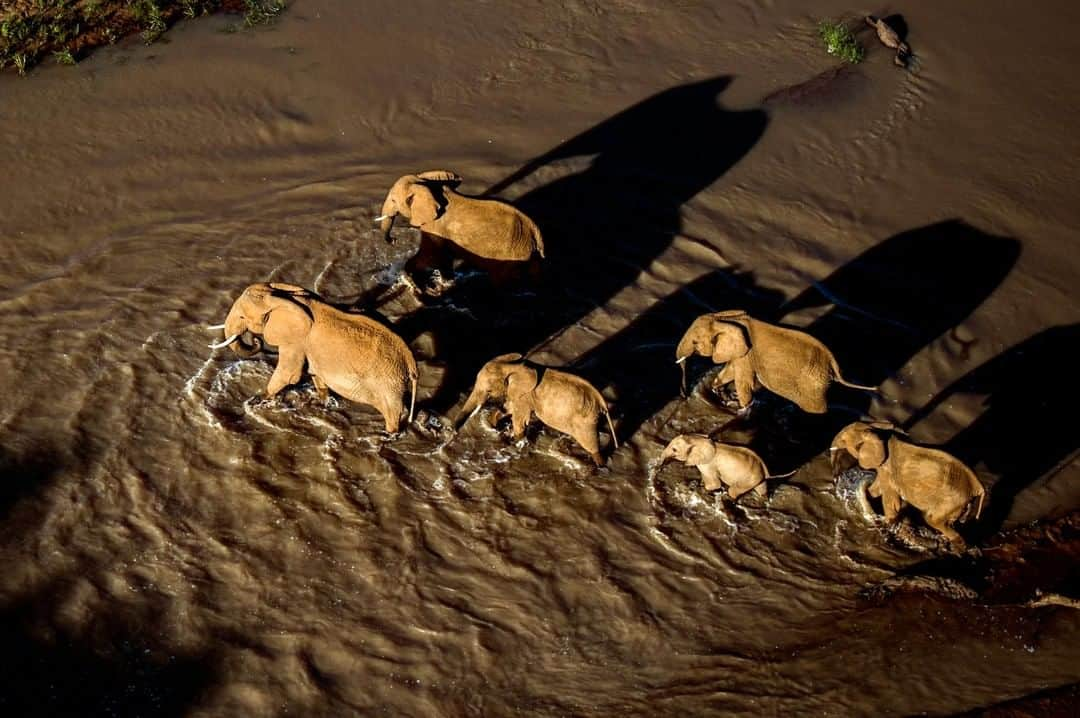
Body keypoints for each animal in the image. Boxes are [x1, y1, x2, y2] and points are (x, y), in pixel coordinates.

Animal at [457, 351, 622, 464]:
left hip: (585, 422)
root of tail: (602, 402)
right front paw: (493, 426)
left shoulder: (525, 396)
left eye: (489, 391)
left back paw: (599, 465)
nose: (455, 431)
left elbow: (519, 420)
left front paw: (517, 442)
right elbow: (509, 408)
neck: (512, 366)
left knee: (591, 444)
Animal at [652, 431, 799, 498]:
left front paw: (703, 489)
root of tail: (766, 470)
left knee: (733, 491)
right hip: (757, 479)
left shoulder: (708, 463)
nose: (659, 467)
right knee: (762, 490)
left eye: (674, 450)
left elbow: (714, 484)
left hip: (747, 480)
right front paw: (698, 484)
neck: (697, 439)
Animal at [673, 308, 876, 414]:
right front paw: (721, 393)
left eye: (695, 342)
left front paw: (739, 407)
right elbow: (730, 371)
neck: (724, 318)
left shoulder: (747, 355)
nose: (683, 395)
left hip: (813, 388)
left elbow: (742, 381)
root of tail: (834, 365)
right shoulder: (742, 354)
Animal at [833, 421, 989, 544]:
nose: (835, 477)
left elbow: (890, 501)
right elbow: (875, 491)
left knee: (933, 520)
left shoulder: (889, 472)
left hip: (951, 501)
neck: (876, 429)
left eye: (843, 440)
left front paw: (888, 522)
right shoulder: (884, 470)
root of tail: (978, 487)